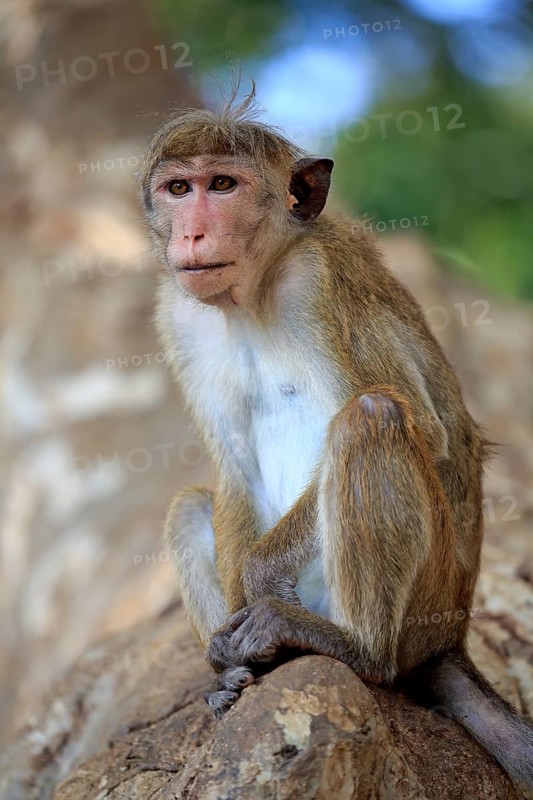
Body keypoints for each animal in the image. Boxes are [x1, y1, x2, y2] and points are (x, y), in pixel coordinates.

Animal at [141, 85, 533, 791]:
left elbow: (426, 429)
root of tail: (452, 636)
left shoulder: (318, 282)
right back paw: (238, 671)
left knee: (371, 418)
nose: (192, 231)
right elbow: (233, 470)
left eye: (222, 184)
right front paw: (229, 651)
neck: (254, 292)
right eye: (178, 188)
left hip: (425, 604)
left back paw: (356, 648)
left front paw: (261, 580)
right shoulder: (178, 314)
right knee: (190, 503)